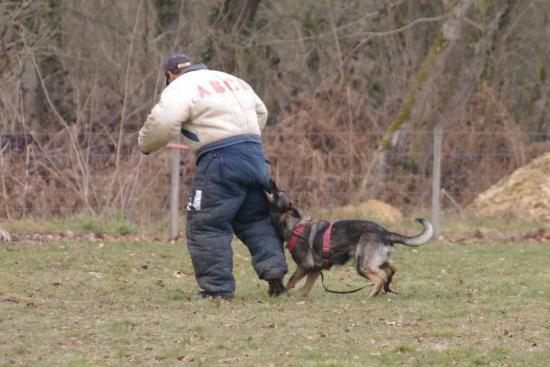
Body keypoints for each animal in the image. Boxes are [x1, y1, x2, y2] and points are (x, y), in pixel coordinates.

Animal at [268, 181, 436, 300]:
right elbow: (305, 288)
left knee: (379, 279)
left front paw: (283, 294)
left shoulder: (305, 266)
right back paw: (386, 287)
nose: (270, 181)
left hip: (362, 265)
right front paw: (300, 297)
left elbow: (291, 281)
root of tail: (385, 232)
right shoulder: (315, 270)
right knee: (391, 269)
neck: (295, 225)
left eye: (278, 192)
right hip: (378, 261)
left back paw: (373, 294)